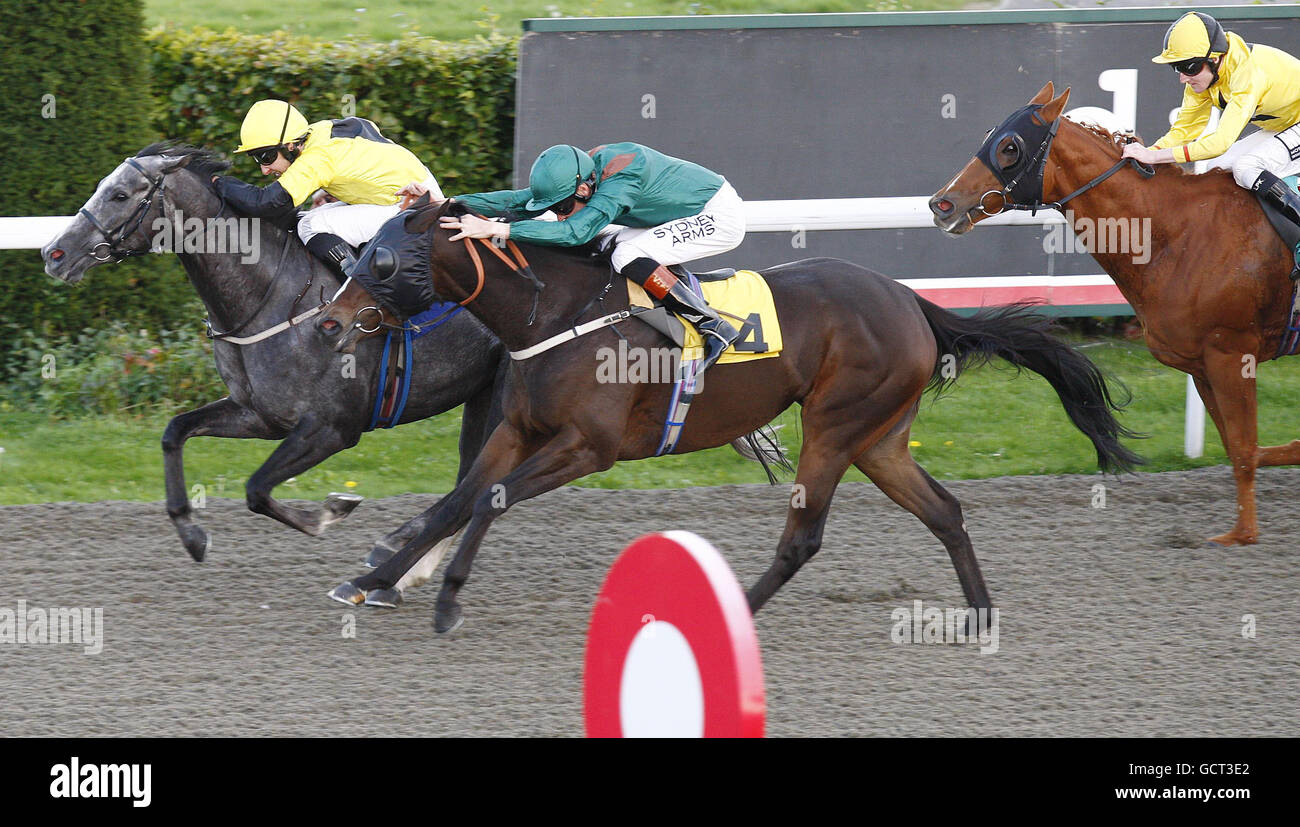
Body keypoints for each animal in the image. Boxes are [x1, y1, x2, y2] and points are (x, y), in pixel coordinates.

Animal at [309, 197, 1133, 629]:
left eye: (382, 260)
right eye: (360, 251)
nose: (328, 323)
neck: (555, 312)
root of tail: (911, 302)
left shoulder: (588, 447)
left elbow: (491, 499)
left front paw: (446, 597)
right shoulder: (519, 429)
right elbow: (455, 501)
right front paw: (371, 577)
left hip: (834, 425)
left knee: (804, 538)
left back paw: (733, 608)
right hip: (880, 439)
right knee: (946, 510)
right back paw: (981, 612)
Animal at [935, 82, 1300, 548]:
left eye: (1010, 148)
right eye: (989, 135)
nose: (941, 204)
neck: (1178, 234)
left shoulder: (1232, 354)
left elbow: (1243, 448)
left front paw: (1243, 533)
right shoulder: (1201, 365)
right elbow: (1245, 446)